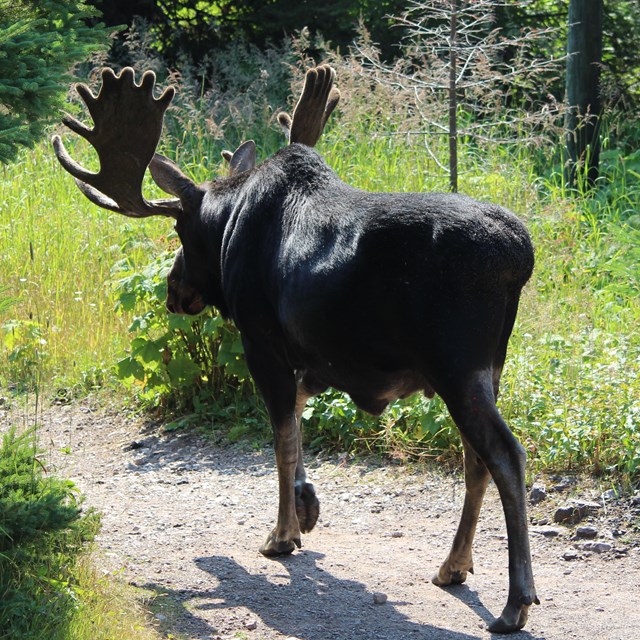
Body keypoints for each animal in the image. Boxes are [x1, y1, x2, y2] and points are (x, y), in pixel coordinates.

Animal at [52, 66, 536, 636]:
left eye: (180, 229)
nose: (175, 291)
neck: (231, 222)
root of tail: (519, 255)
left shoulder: (260, 339)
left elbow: (281, 438)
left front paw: (281, 534)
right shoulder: (315, 357)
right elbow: (300, 417)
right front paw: (307, 506)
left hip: (456, 366)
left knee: (505, 454)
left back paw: (514, 601)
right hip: (488, 368)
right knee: (476, 458)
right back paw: (454, 565)